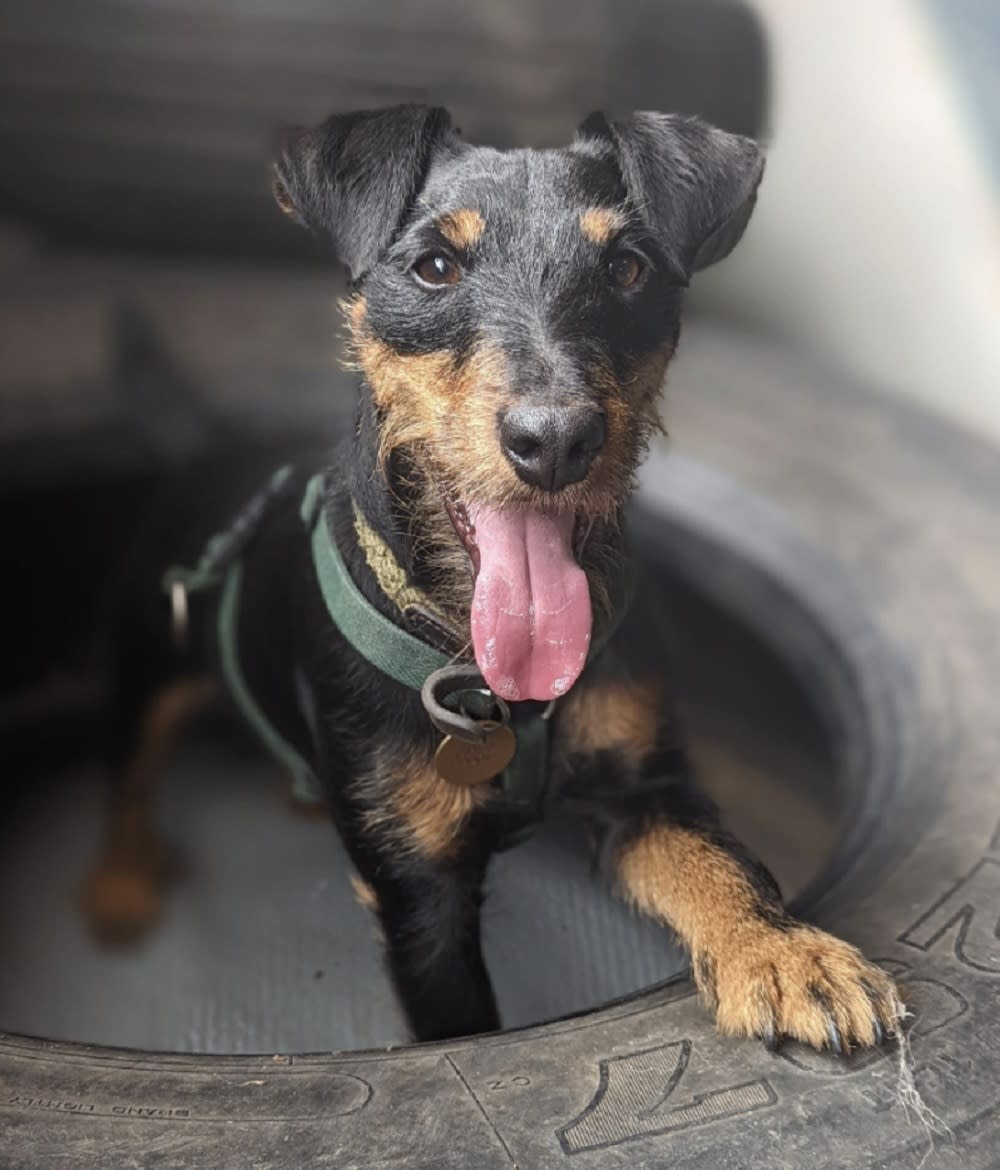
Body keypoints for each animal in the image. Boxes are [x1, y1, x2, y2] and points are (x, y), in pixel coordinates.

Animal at [80, 102, 907, 1053]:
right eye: (434, 267)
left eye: (627, 268)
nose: (554, 440)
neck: (482, 671)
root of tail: (202, 441)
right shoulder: (419, 897)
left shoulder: (644, 788)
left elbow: (719, 864)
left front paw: (784, 954)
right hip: (147, 654)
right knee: (129, 770)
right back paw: (119, 886)